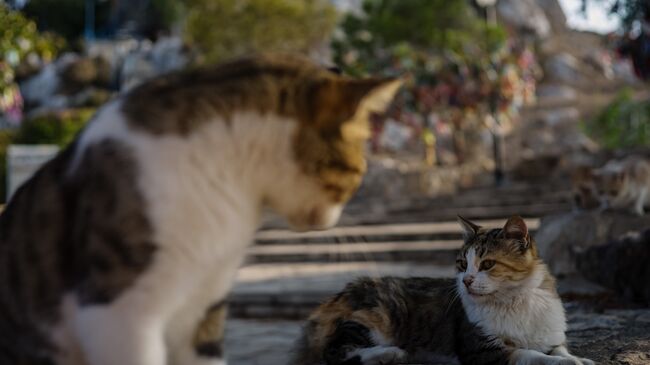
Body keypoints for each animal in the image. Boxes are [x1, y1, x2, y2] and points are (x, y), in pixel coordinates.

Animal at [292, 216, 592, 364]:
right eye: (462, 264)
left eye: (487, 264)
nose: (466, 281)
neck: (515, 301)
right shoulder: (483, 350)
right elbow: (533, 356)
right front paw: (566, 363)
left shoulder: (552, 338)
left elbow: (559, 351)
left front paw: (578, 359)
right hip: (373, 317)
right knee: (335, 352)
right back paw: (391, 354)